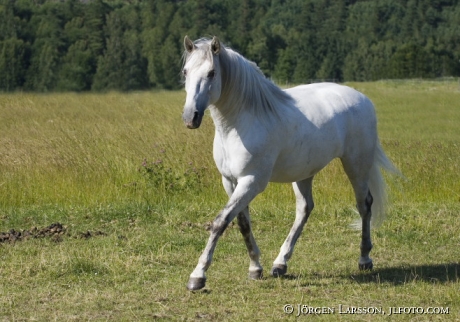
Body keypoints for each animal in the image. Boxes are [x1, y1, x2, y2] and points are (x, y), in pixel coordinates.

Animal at [181, 36, 398, 290]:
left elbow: (220, 221)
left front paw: (198, 276)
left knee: (364, 205)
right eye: (185, 72)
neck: (242, 122)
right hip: (304, 172)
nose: (190, 117)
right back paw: (280, 264)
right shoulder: (231, 181)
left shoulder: (252, 182)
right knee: (305, 208)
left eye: (212, 72)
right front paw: (255, 268)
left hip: (356, 165)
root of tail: (364, 100)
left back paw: (364, 259)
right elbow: (243, 223)